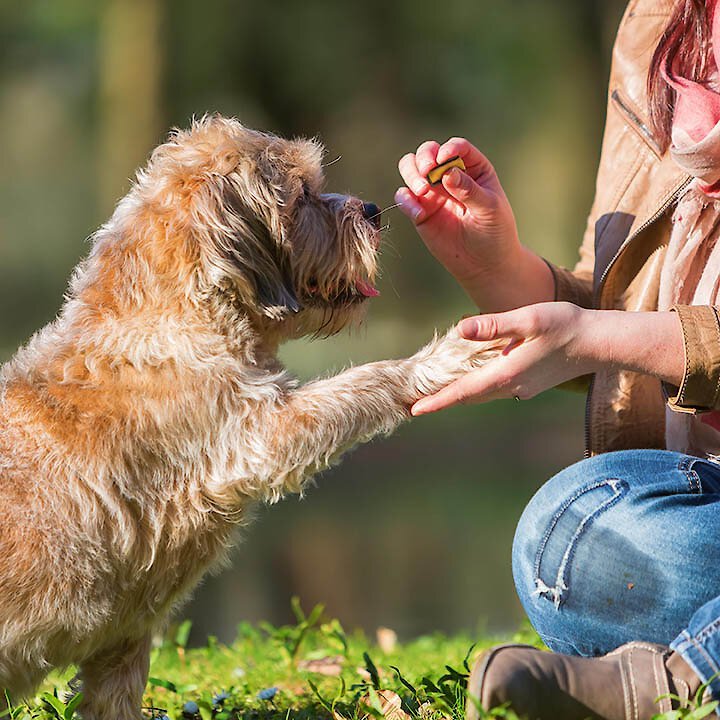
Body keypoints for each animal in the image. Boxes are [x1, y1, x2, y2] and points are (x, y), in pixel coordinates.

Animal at [0, 115, 498, 716]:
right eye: (302, 195)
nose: (374, 209)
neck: (174, 316)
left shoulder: (121, 646)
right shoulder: (259, 433)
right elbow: (367, 381)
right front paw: (440, 360)